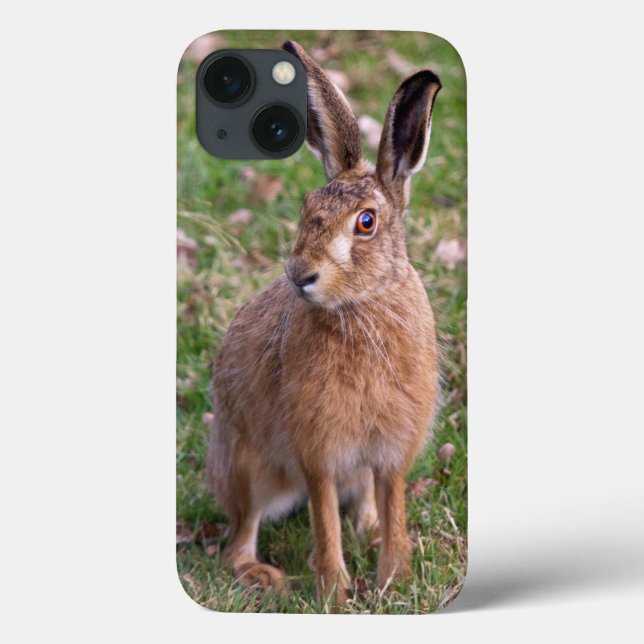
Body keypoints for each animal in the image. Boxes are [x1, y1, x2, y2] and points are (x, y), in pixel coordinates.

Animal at [207, 39, 441, 607]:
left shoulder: (391, 452)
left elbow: (392, 503)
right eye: (306, 207)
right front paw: (335, 592)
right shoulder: (318, 451)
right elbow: (323, 517)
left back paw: (370, 531)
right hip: (251, 470)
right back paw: (263, 575)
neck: (361, 306)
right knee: (239, 539)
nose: (300, 275)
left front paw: (393, 578)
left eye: (366, 223)